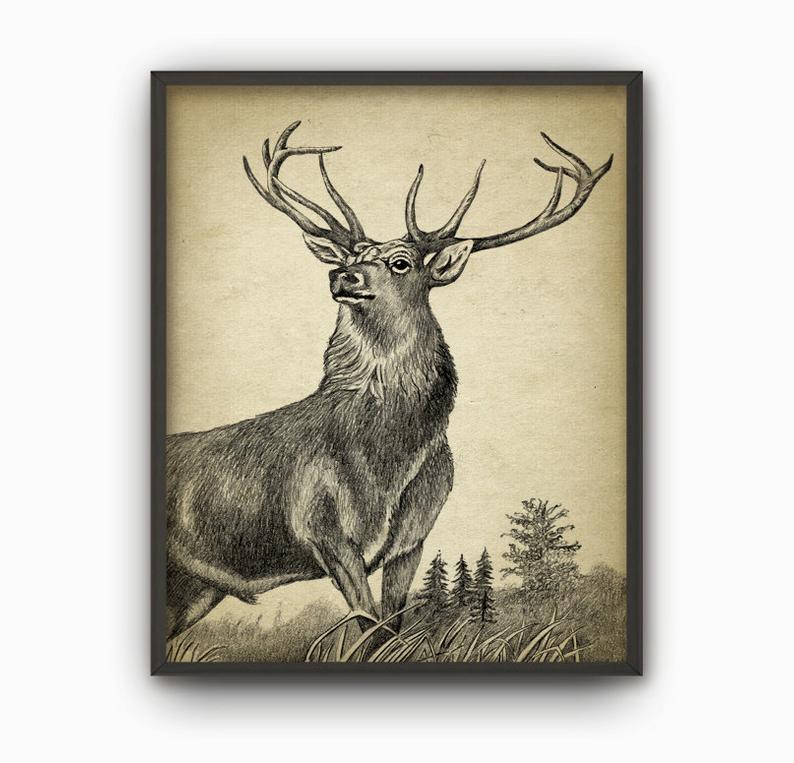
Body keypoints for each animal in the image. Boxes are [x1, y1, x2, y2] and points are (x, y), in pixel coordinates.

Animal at [165, 121, 612, 640]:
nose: (343, 275)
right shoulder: (324, 530)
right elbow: (369, 628)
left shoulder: (412, 537)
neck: (386, 459)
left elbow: (392, 628)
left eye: (401, 262)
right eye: (354, 254)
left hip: (195, 588)